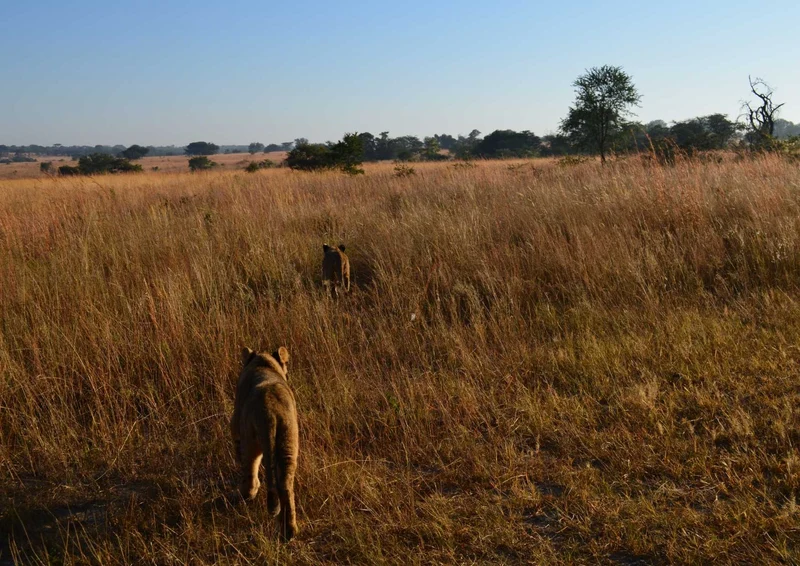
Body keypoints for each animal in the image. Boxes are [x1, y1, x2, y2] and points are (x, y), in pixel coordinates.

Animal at [231, 346, 299, 541]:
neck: (263, 363)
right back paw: (289, 531)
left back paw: (244, 494)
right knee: (285, 485)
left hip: (250, 441)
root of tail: (270, 413)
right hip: (289, 441)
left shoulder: (235, 426)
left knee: (250, 471)